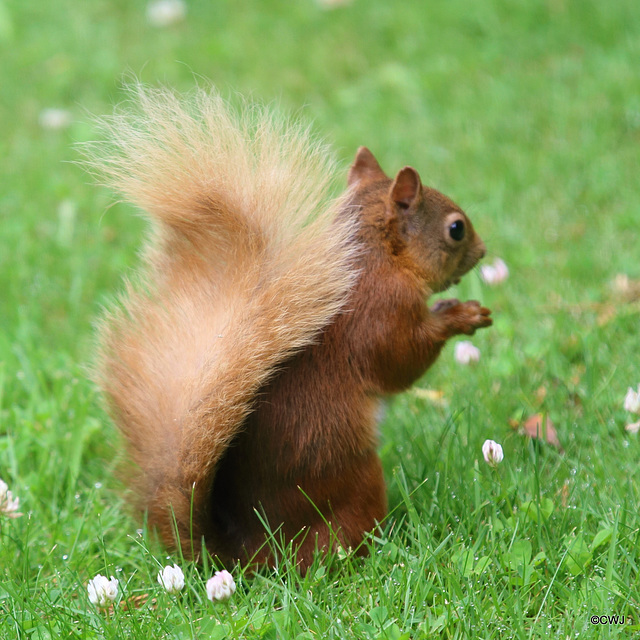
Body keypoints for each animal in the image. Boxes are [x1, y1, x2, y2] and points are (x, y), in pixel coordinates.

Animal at [89, 84, 490, 568]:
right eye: (456, 229)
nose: (483, 251)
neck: (376, 254)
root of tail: (249, 553)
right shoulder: (380, 309)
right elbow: (400, 360)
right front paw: (459, 317)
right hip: (353, 480)